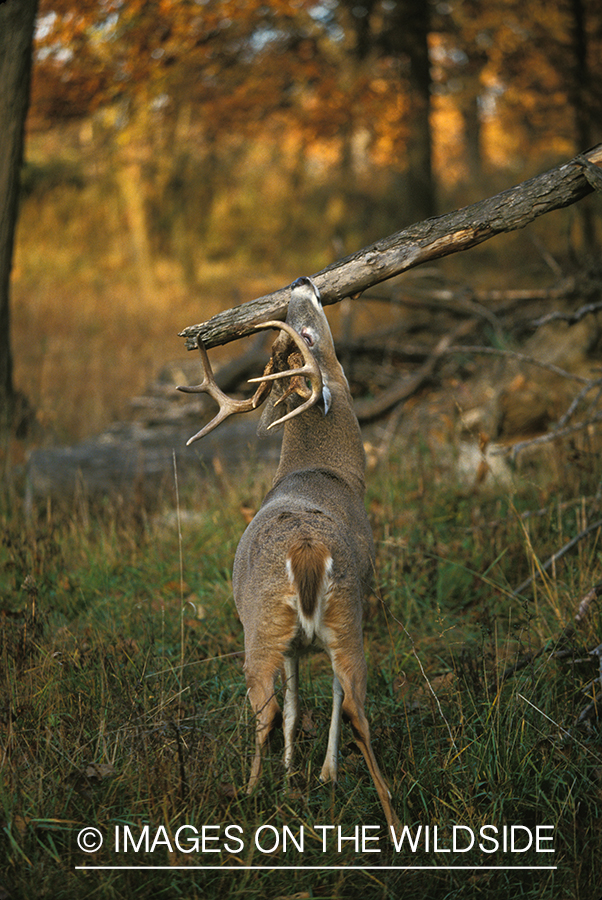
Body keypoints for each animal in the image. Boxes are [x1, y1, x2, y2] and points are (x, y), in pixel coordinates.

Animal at [178, 278, 398, 832]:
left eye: (306, 334)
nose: (301, 282)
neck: (325, 472)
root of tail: (307, 552)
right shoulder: (309, 639)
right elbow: (313, 700)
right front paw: (312, 772)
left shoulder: (295, 641)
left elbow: (297, 703)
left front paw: (295, 772)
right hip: (344, 617)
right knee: (356, 708)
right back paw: (391, 817)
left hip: (263, 627)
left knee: (270, 708)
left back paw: (251, 792)